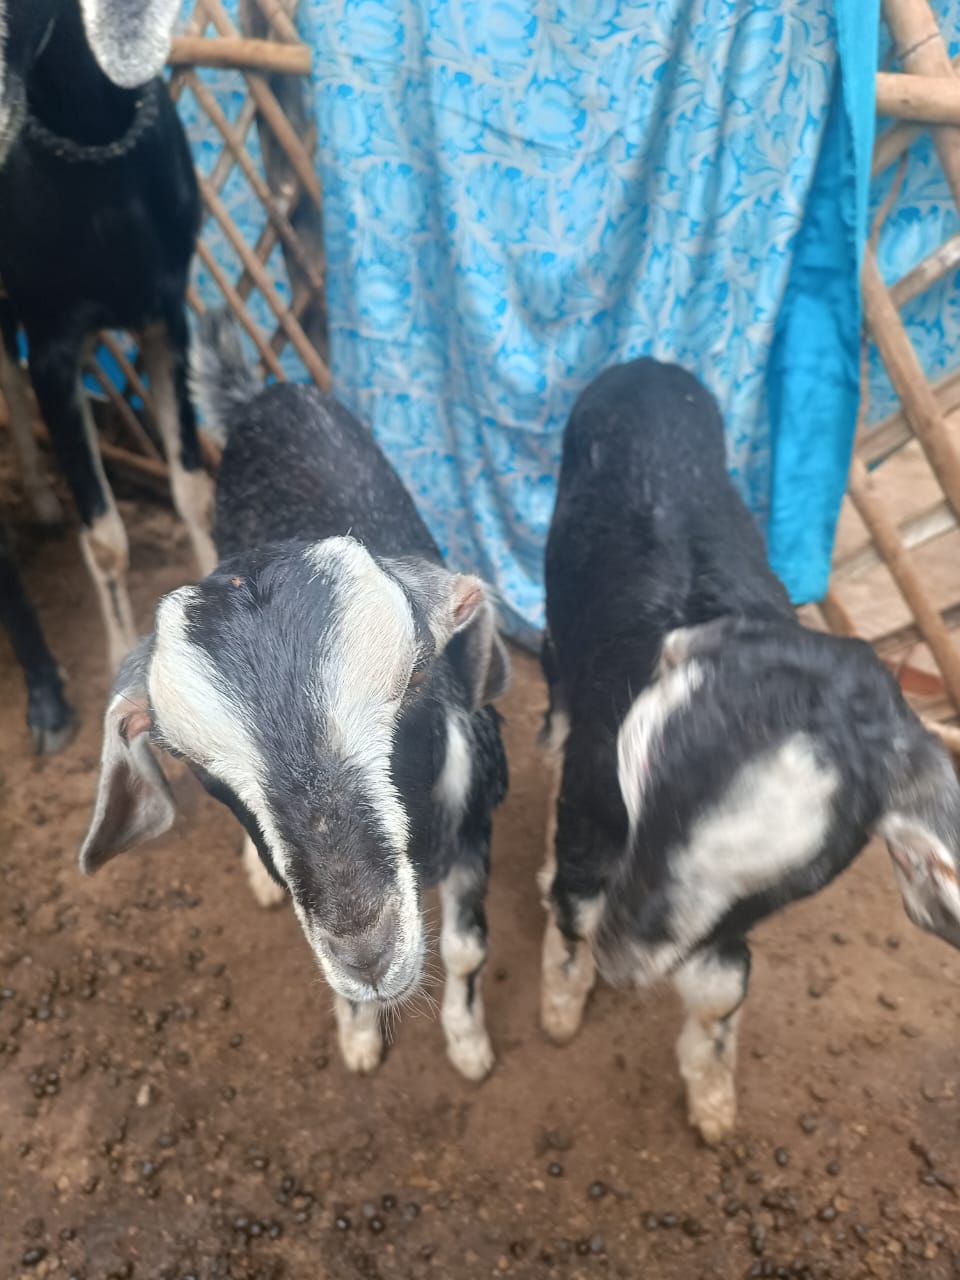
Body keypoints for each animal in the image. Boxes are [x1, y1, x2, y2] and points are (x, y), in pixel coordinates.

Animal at [78, 311, 511, 1081]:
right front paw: (360, 1035)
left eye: (415, 676)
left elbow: (466, 949)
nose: (367, 952)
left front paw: (467, 1043)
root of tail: (262, 393)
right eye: (185, 757)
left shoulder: (476, 832)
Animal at [539, 358, 960, 1145]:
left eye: (800, 878)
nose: (623, 960)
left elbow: (720, 986)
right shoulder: (589, 808)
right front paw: (560, 1006)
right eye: (637, 788)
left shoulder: (729, 918)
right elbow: (573, 906)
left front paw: (712, 1103)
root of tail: (648, 364)